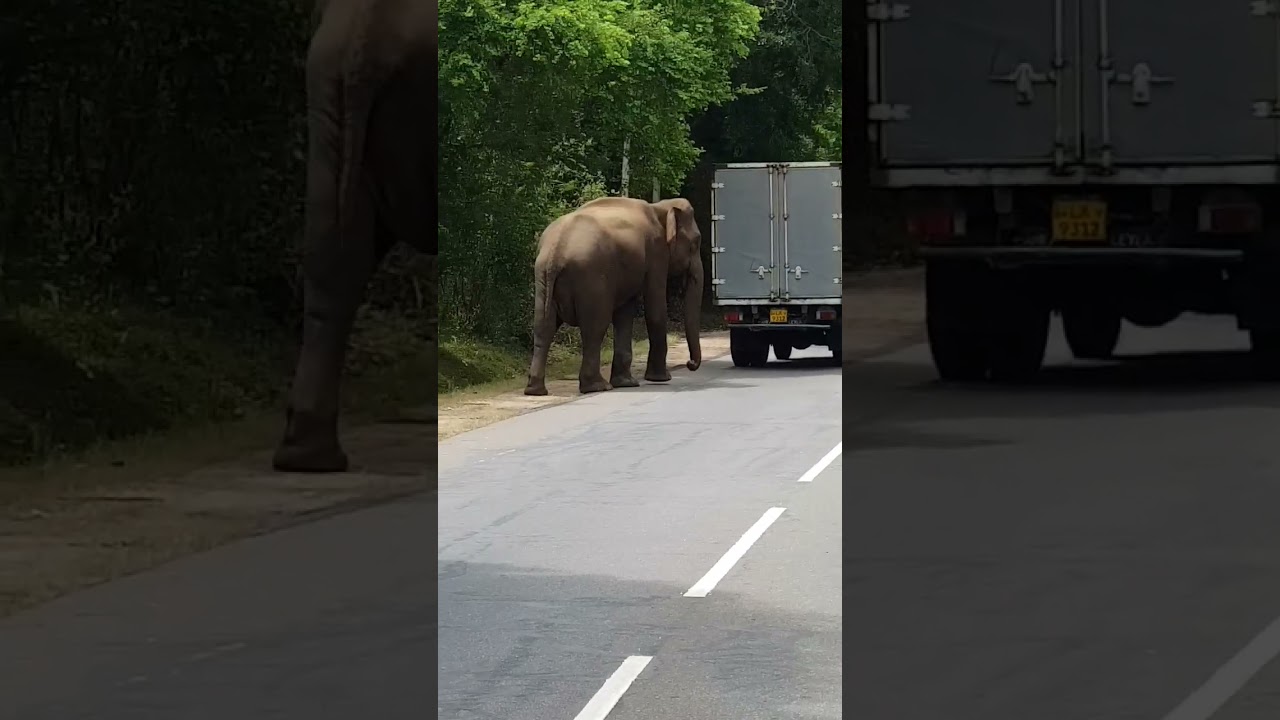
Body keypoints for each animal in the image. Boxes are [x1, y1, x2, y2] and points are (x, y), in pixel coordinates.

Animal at [524, 196, 705, 396]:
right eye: (695, 243)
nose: (690, 364)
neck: (659, 207)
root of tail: (556, 249)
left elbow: (624, 313)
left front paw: (626, 383)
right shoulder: (656, 254)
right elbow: (654, 309)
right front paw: (661, 379)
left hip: (542, 276)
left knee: (543, 327)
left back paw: (535, 390)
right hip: (592, 277)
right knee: (595, 327)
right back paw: (597, 386)